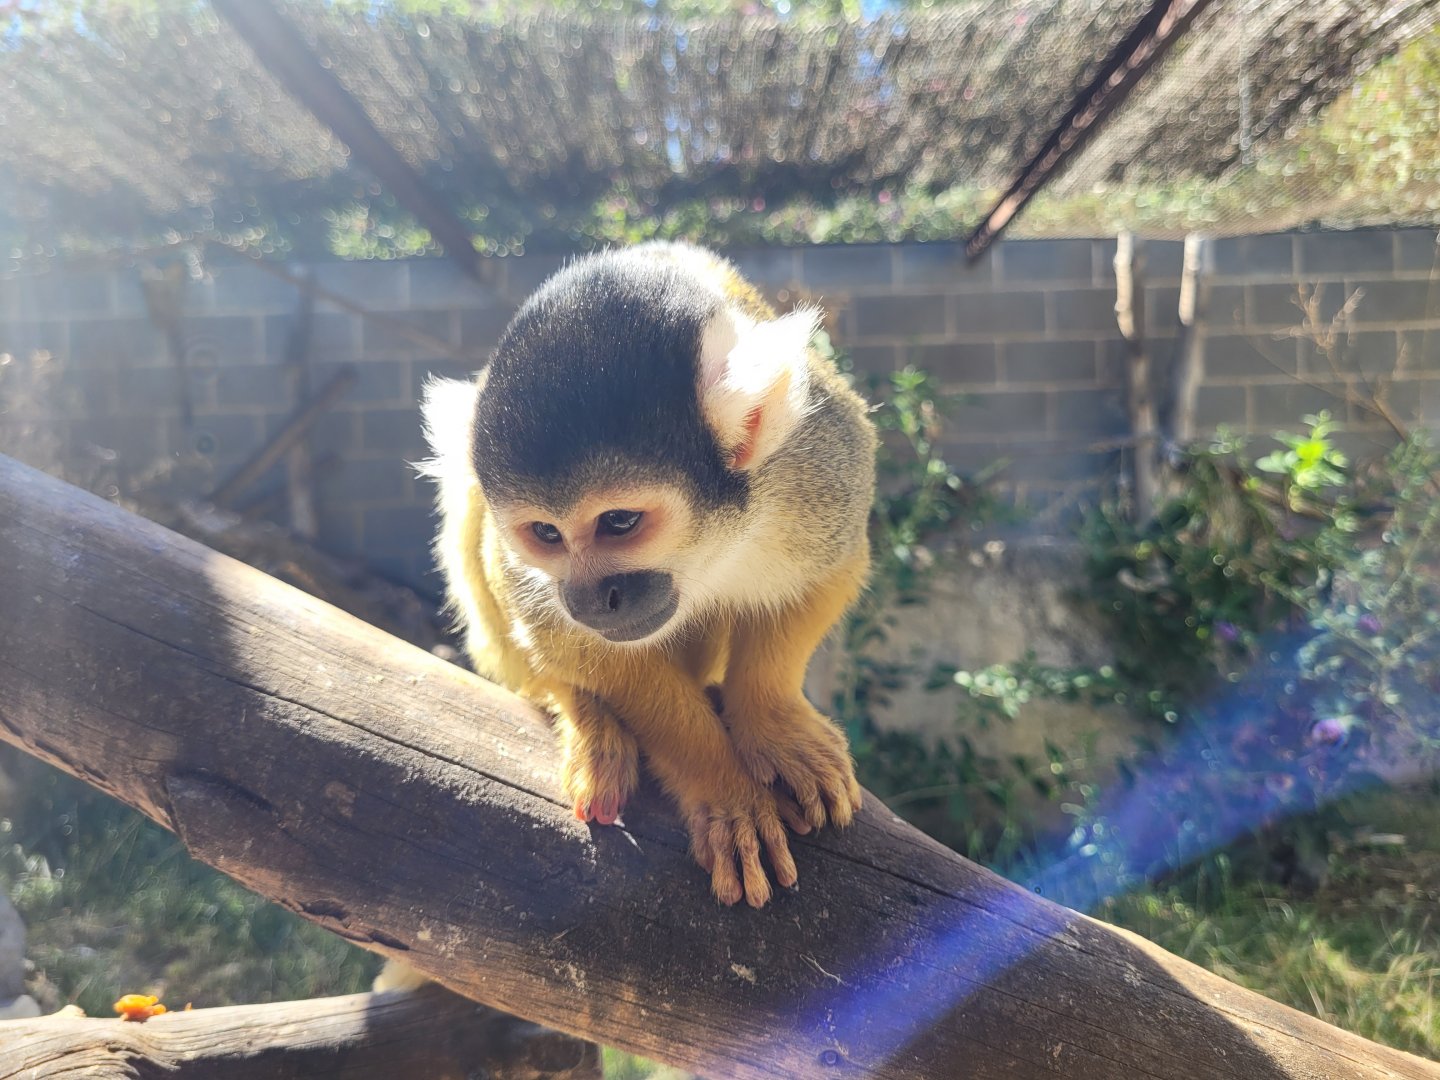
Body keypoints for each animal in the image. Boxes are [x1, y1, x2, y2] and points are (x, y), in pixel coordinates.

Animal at [419, 241, 877, 908]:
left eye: (620, 521)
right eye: (547, 534)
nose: (590, 599)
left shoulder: (821, 462)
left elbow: (831, 571)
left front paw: (773, 721)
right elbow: (575, 642)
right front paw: (725, 791)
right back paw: (581, 712)